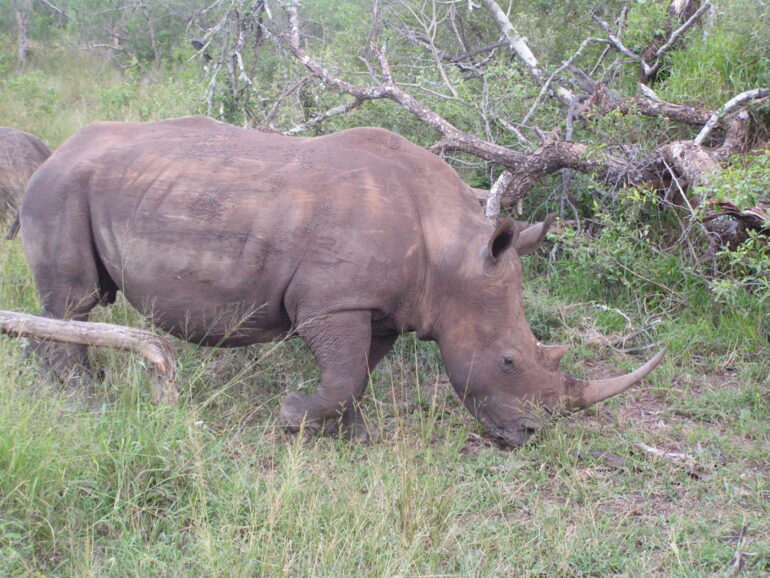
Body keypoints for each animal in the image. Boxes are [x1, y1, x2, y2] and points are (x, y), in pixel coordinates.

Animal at [19, 116, 664, 445]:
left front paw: (352, 439)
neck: (451, 252)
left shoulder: (378, 306)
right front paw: (291, 417)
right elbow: (345, 373)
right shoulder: (334, 304)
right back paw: (84, 399)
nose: (531, 434)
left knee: (72, 307)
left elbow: (358, 375)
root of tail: (55, 152)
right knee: (75, 302)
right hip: (62, 189)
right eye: (508, 361)